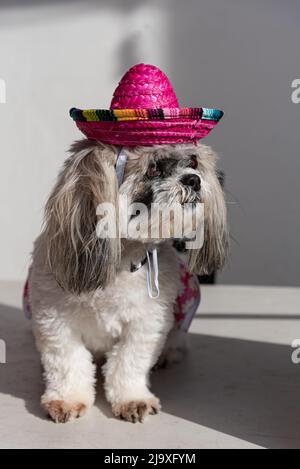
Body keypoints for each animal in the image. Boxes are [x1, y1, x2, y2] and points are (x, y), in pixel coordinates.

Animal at [29, 141, 227, 422]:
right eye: (153, 168)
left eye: (193, 162)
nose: (194, 179)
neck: (121, 263)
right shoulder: (55, 320)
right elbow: (68, 362)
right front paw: (67, 399)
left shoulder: (146, 324)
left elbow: (129, 362)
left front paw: (132, 399)